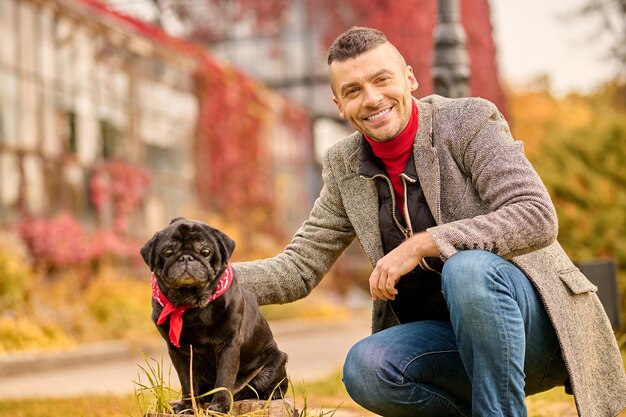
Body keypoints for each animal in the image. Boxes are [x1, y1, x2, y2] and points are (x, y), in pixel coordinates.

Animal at [140, 218, 286, 412]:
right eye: (167, 252)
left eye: (206, 251)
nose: (186, 257)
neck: (191, 305)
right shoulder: (178, 351)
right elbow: (187, 381)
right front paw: (187, 406)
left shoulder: (229, 345)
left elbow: (224, 378)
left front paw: (220, 406)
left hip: (275, 360)